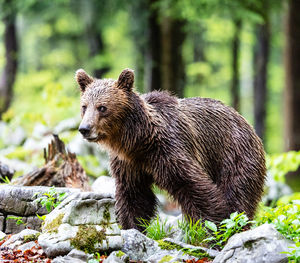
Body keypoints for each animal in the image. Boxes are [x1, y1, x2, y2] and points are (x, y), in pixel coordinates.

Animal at [76, 68, 266, 231]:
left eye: (102, 107)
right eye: (84, 106)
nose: (84, 128)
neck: (137, 141)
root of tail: (246, 123)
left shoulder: (169, 150)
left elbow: (193, 186)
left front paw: (215, 226)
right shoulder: (128, 164)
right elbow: (134, 196)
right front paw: (132, 227)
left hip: (234, 154)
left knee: (237, 192)